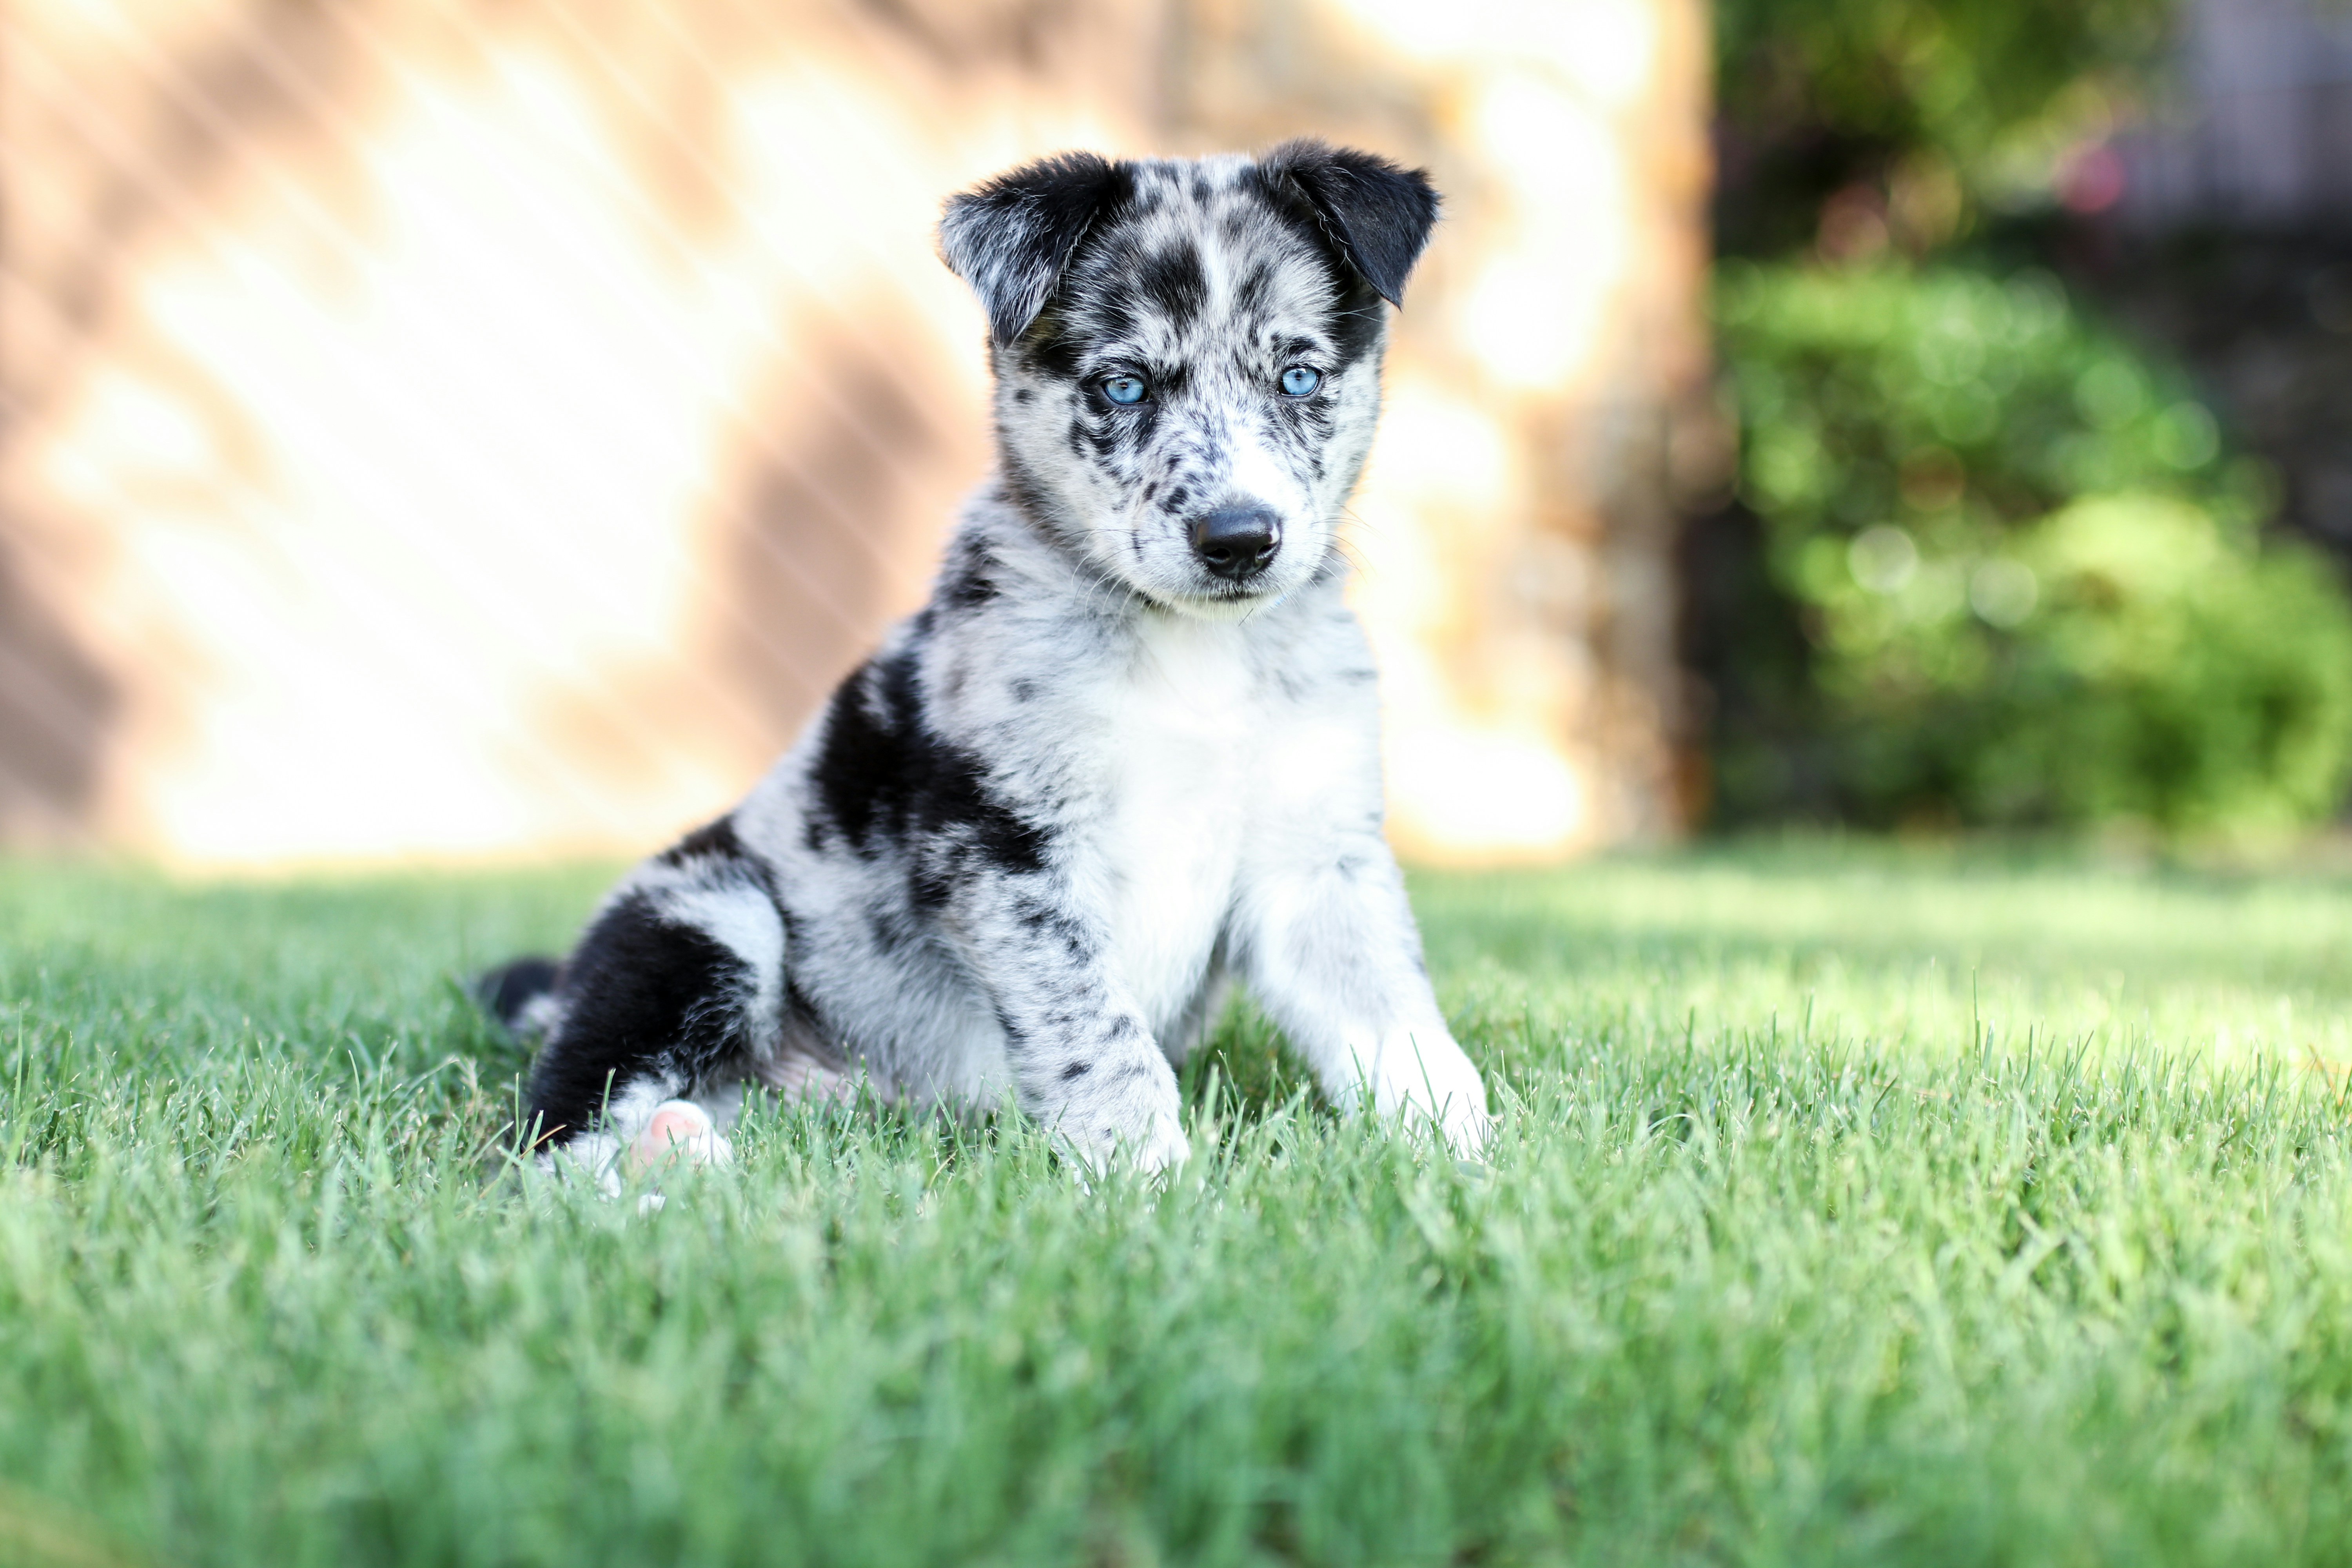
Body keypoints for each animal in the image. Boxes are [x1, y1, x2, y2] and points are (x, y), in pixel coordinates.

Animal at [482, 141, 1486, 1185]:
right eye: (1123, 387)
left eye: (1298, 377)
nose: (1239, 538)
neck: (1192, 649)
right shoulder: (1009, 844)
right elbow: (1098, 1031)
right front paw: (1149, 1176)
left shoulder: (1316, 852)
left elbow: (1388, 1013)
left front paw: (1460, 1146)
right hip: (709, 920)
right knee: (553, 1127)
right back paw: (643, 1173)